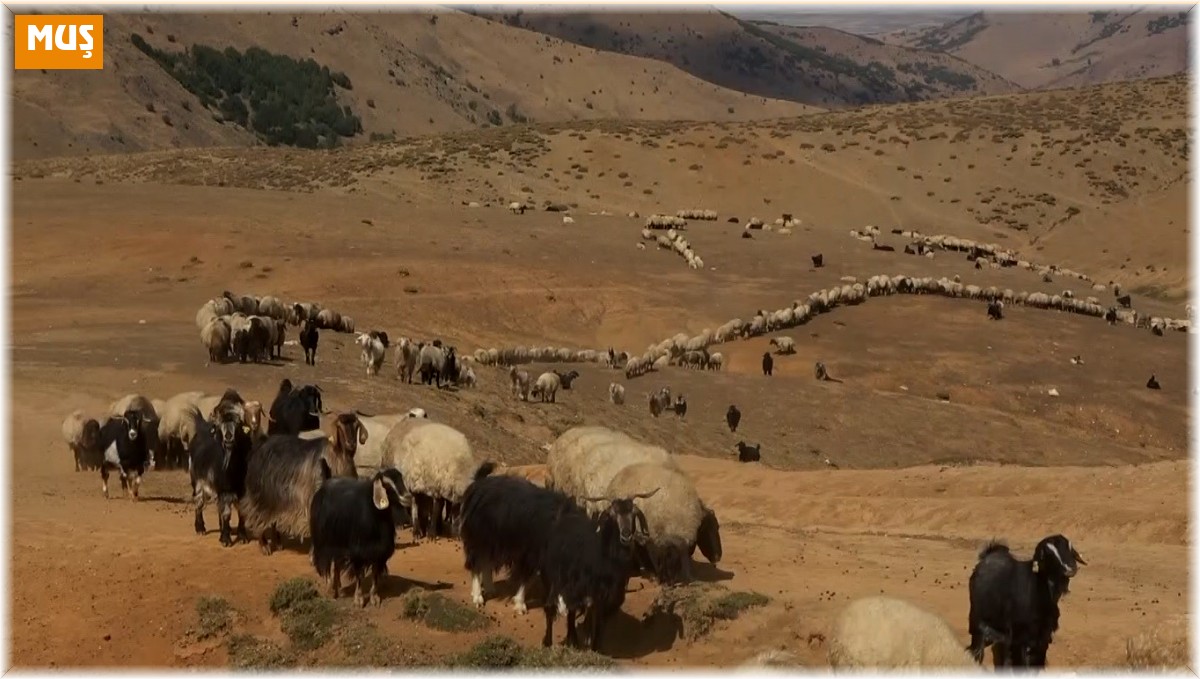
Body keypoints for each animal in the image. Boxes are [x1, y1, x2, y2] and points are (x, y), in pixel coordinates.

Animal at [309, 460, 412, 609]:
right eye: (387, 485)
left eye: (401, 479)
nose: (408, 498)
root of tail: (326, 482)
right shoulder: (358, 551)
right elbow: (359, 576)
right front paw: (358, 599)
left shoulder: (379, 553)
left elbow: (375, 574)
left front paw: (375, 598)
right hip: (324, 540)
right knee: (327, 561)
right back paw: (331, 589)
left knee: (337, 562)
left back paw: (337, 585)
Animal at [542, 487, 662, 652]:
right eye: (613, 514)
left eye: (633, 513)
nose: (626, 535)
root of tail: (564, 517)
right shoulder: (594, 593)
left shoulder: (609, 597)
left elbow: (598, 623)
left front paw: (593, 646)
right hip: (554, 578)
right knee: (550, 607)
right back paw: (548, 642)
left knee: (571, 610)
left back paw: (573, 640)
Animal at [964, 537, 1089, 671]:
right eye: (1047, 554)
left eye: (1069, 547)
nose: (1070, 569)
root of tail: (990, 554)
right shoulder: (1020, 640)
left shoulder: (1042, 639)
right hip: (977, 625)